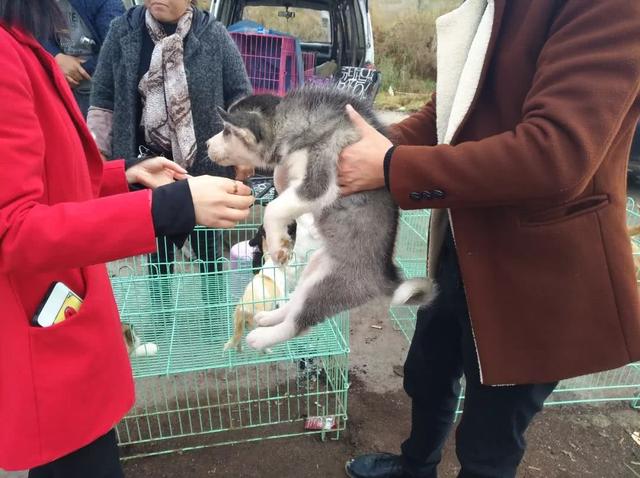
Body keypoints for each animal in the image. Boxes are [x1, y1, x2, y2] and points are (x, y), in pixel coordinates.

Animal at [208, 85, 438, 352]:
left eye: (227, 132)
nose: (206, 144)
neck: (293, 121)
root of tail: (385, 279)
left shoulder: (321, 180)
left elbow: (273, 207)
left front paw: (276, 245)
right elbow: (280, 188)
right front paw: (283, 239)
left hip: (329, 288)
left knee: (299, 323)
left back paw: (262, 337)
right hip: (314, 270)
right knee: (293, 301)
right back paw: (269, 317)